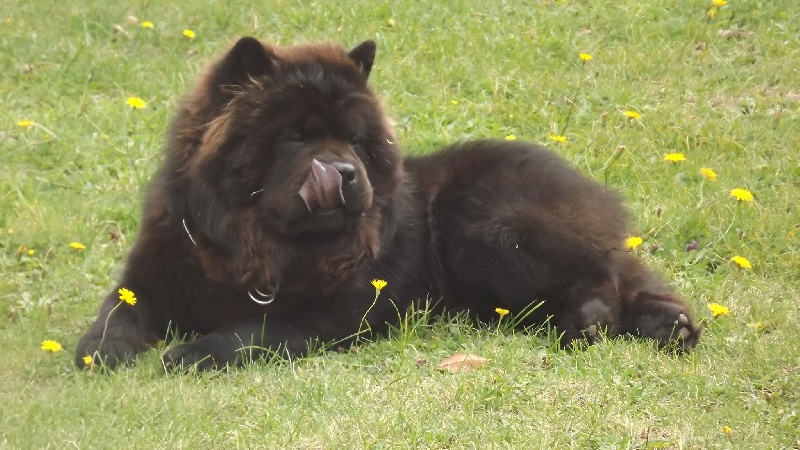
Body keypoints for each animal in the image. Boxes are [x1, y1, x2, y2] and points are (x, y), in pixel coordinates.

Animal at [76, 37, 700, 370]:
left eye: (354, 140)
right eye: (295, 137)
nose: (343, 173)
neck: (247, 245)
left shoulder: (334, 310)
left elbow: (251, 329)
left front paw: (188, 353)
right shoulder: (151, 274)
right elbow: (117, 313)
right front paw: (100, 351)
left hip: (490, 231)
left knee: (600, 270)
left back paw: (594, 319)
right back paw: (670, 327)